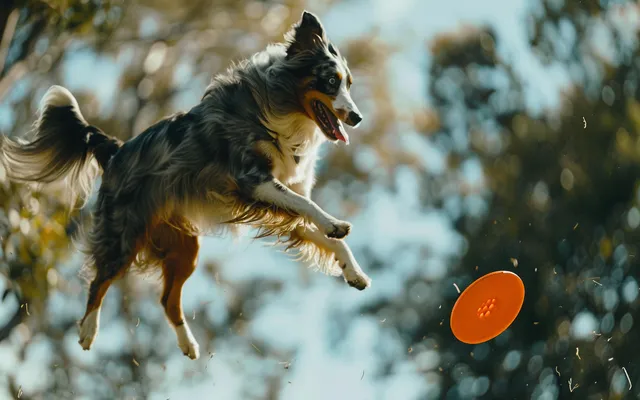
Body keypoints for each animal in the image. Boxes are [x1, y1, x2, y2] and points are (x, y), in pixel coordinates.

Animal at [1, 10, 370, 360]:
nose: (357, 118)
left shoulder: (279, 202)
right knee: (99, 279)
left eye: (349, 84)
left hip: (185, 246)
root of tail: (117, 149)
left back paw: (188, 345)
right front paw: (336, 224)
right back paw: (88, 330)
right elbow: (311, 208)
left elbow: (324, 232)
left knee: (167, 299)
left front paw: (353, 270)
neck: (283, 109)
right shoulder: (253, 180)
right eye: (331, 81)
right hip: (125, 233)